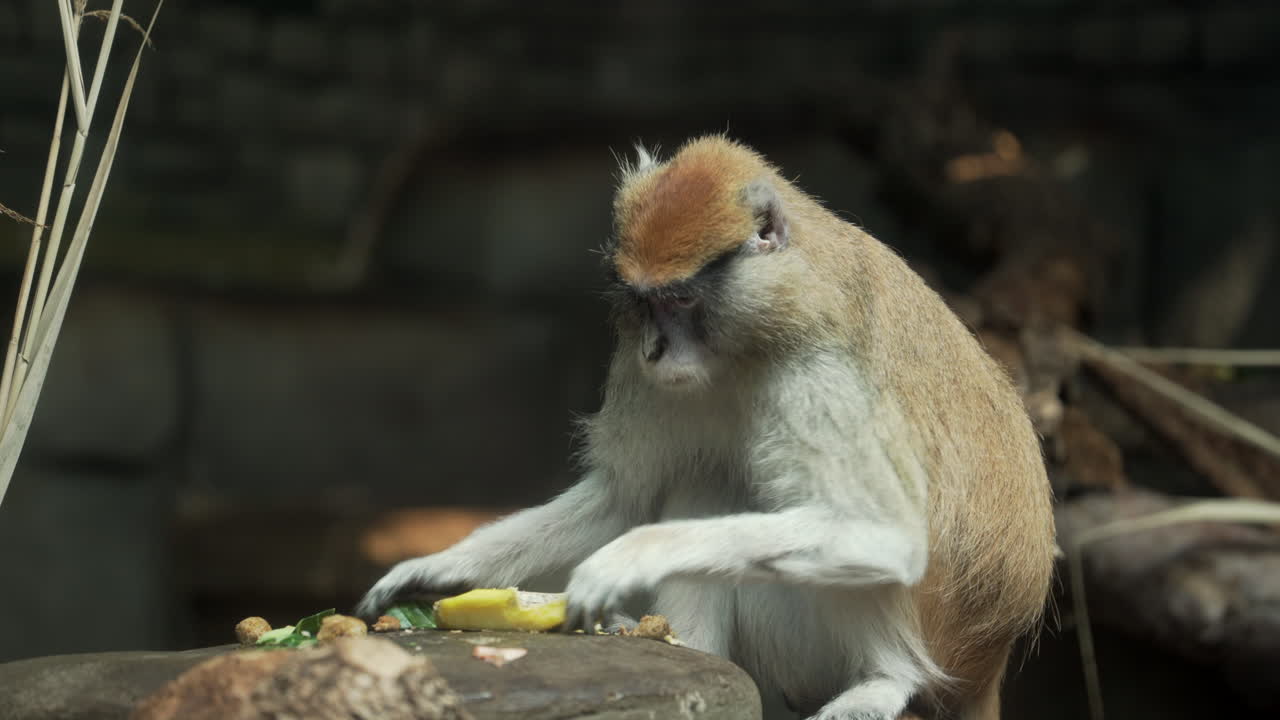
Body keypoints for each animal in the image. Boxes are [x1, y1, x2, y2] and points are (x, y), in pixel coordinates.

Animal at [357, 136, 1056, 720]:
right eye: (642, 303)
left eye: (682, 299)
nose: (655, 351)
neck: (750, 332)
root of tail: (987, 660)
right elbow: (625, 497)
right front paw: (435, 570)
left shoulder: (819, 374)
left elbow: (886, 538)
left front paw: (630, 558)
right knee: (707, 479)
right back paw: (687, 645)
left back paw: (884, 680)